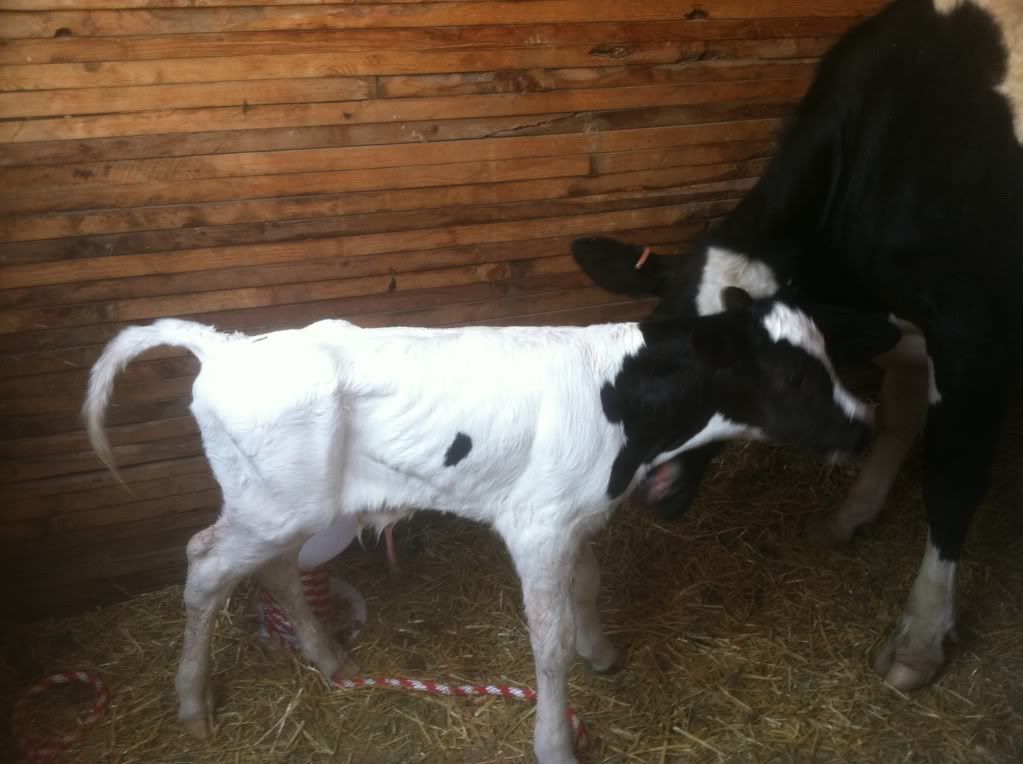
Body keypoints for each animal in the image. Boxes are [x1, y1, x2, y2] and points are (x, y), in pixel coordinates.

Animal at [83, 293, 877, 764]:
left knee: (275, 568)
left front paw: (600, 650)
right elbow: (546, 647)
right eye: (796, 378)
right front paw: (555, 741)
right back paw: (193, 702)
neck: (622, 404)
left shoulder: (574, 517)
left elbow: (587, 589)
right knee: (204, 565)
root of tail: (231, 345)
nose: (864, 426)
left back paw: (330, 659)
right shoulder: (537, 527)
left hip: (300, 506)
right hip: (269, 506)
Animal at [571, 0, 1023, 693]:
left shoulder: (975, 336)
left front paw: (919, 636)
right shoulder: (908, 326)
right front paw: (850, 514)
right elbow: (897, 420)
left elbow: (950, 480)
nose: (652, 484)